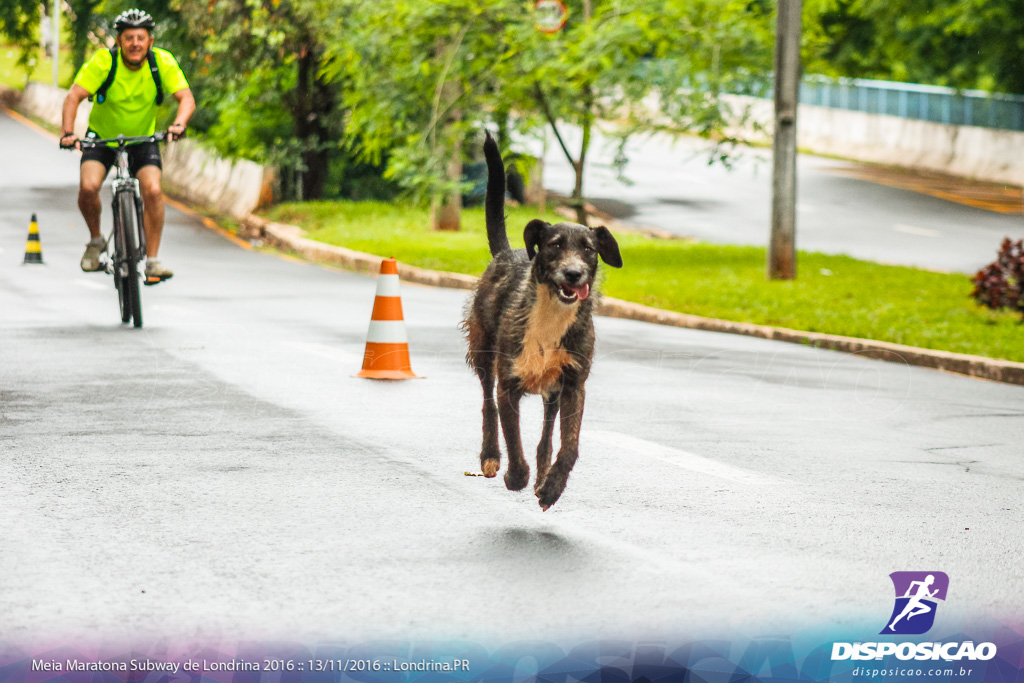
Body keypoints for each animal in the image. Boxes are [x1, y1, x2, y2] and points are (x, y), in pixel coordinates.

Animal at [464, 133, 622, 509]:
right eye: (554, 245)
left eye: (589, 249)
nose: (574, 274)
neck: (552, 315)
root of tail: (507, 252)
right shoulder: (509, 382)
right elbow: (513, 435)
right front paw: (516, 476)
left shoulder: (574, 385)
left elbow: (568, 446)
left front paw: (551, 487)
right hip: (483, 351)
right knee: (487, 403)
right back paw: (491, 456)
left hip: (553, 392)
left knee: (547, 436)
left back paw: (542, 476)